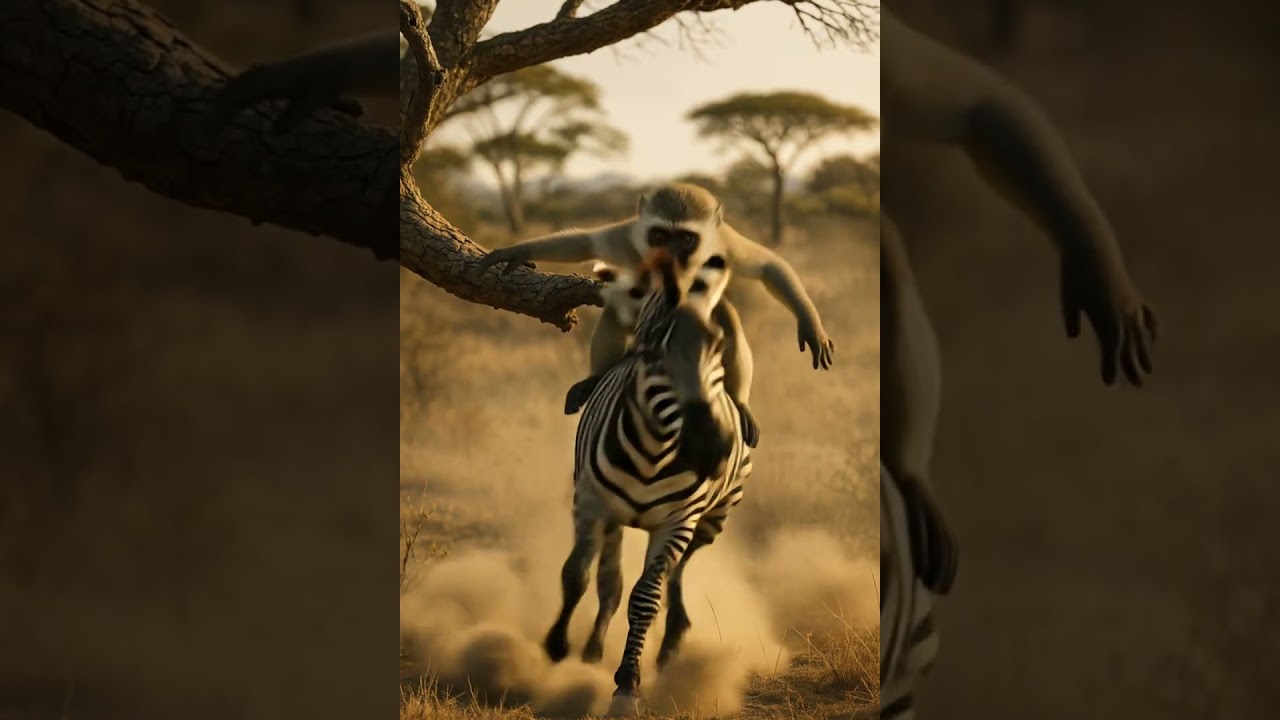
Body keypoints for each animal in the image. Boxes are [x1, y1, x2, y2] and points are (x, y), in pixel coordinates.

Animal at [478, 183, 828, 444]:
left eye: (685, 239)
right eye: (659, 236)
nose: (669, 255)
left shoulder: (724, 242)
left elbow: (769, 266)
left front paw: (810, 322)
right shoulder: (628, 237)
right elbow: (585, 242)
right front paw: (517, 252)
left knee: (728, 320)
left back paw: (740, 402)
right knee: (615, 315)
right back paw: (594, 378)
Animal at [543, 246, 751, 717]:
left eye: (719, 350)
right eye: (651, 352)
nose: (713, 446)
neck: (654, 452)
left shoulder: (678, 522)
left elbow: (645, 598)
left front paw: (627, 683)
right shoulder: (591, 502)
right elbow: (575, 574)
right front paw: (558, 645)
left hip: (711, 522)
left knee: (675, 575)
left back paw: (671, 642)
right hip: (614, 516)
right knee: (609, 579)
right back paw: (593, 648)